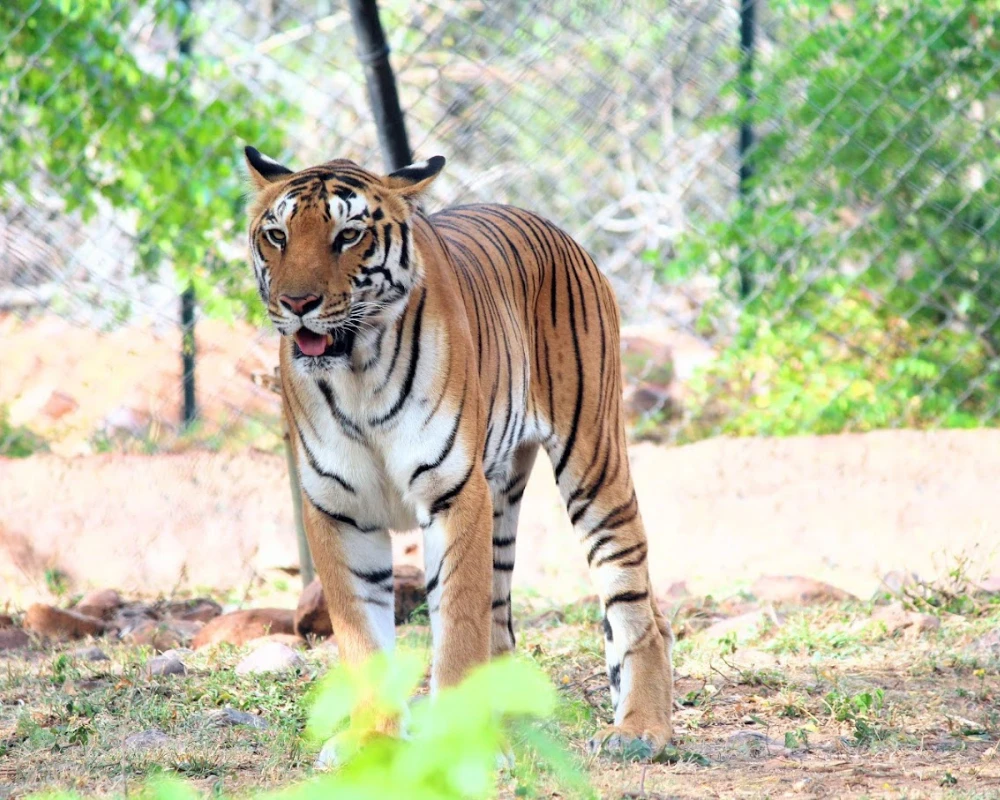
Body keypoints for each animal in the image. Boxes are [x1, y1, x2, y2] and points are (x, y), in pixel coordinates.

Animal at [243, 145, 676, 756]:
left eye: (348, 235)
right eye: (277, 236)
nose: (296, 302)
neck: (356, 373)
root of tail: (554, 229)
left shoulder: (452, 494)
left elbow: (456, 631)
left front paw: (455, 746)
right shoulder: (338, 509)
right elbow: (363, 640)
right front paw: (372, 741)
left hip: (594, 459)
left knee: (634, 598)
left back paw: (640, 728)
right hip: (501, 494)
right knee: (504, 618)